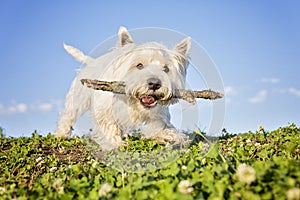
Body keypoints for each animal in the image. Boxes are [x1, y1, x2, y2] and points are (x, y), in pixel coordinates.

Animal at [55, 26, 191, 150]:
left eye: (166, 69)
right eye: (139, 65)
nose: (154, 84)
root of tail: (92, 62)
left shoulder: (158, 113)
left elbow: (162, 125)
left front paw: (171, 136)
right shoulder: (104, 107)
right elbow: (109, 124)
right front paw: (116, 144)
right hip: (79, 98)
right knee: (69, 115)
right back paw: (61, 134)